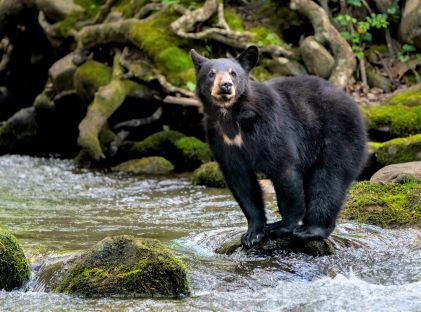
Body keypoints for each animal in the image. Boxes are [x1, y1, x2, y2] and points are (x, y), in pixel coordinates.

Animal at [189, 45, 366, 246]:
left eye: (233, 73)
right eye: (211, 74)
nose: (225, 85)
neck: (232, 116)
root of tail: (353, 103)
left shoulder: (270, 127)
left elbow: (284, 170)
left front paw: (282, 227)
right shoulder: (221, 140)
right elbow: (242, 182)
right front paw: (252, 234)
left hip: (338, 135)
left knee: (329, 179)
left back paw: (310, 230)